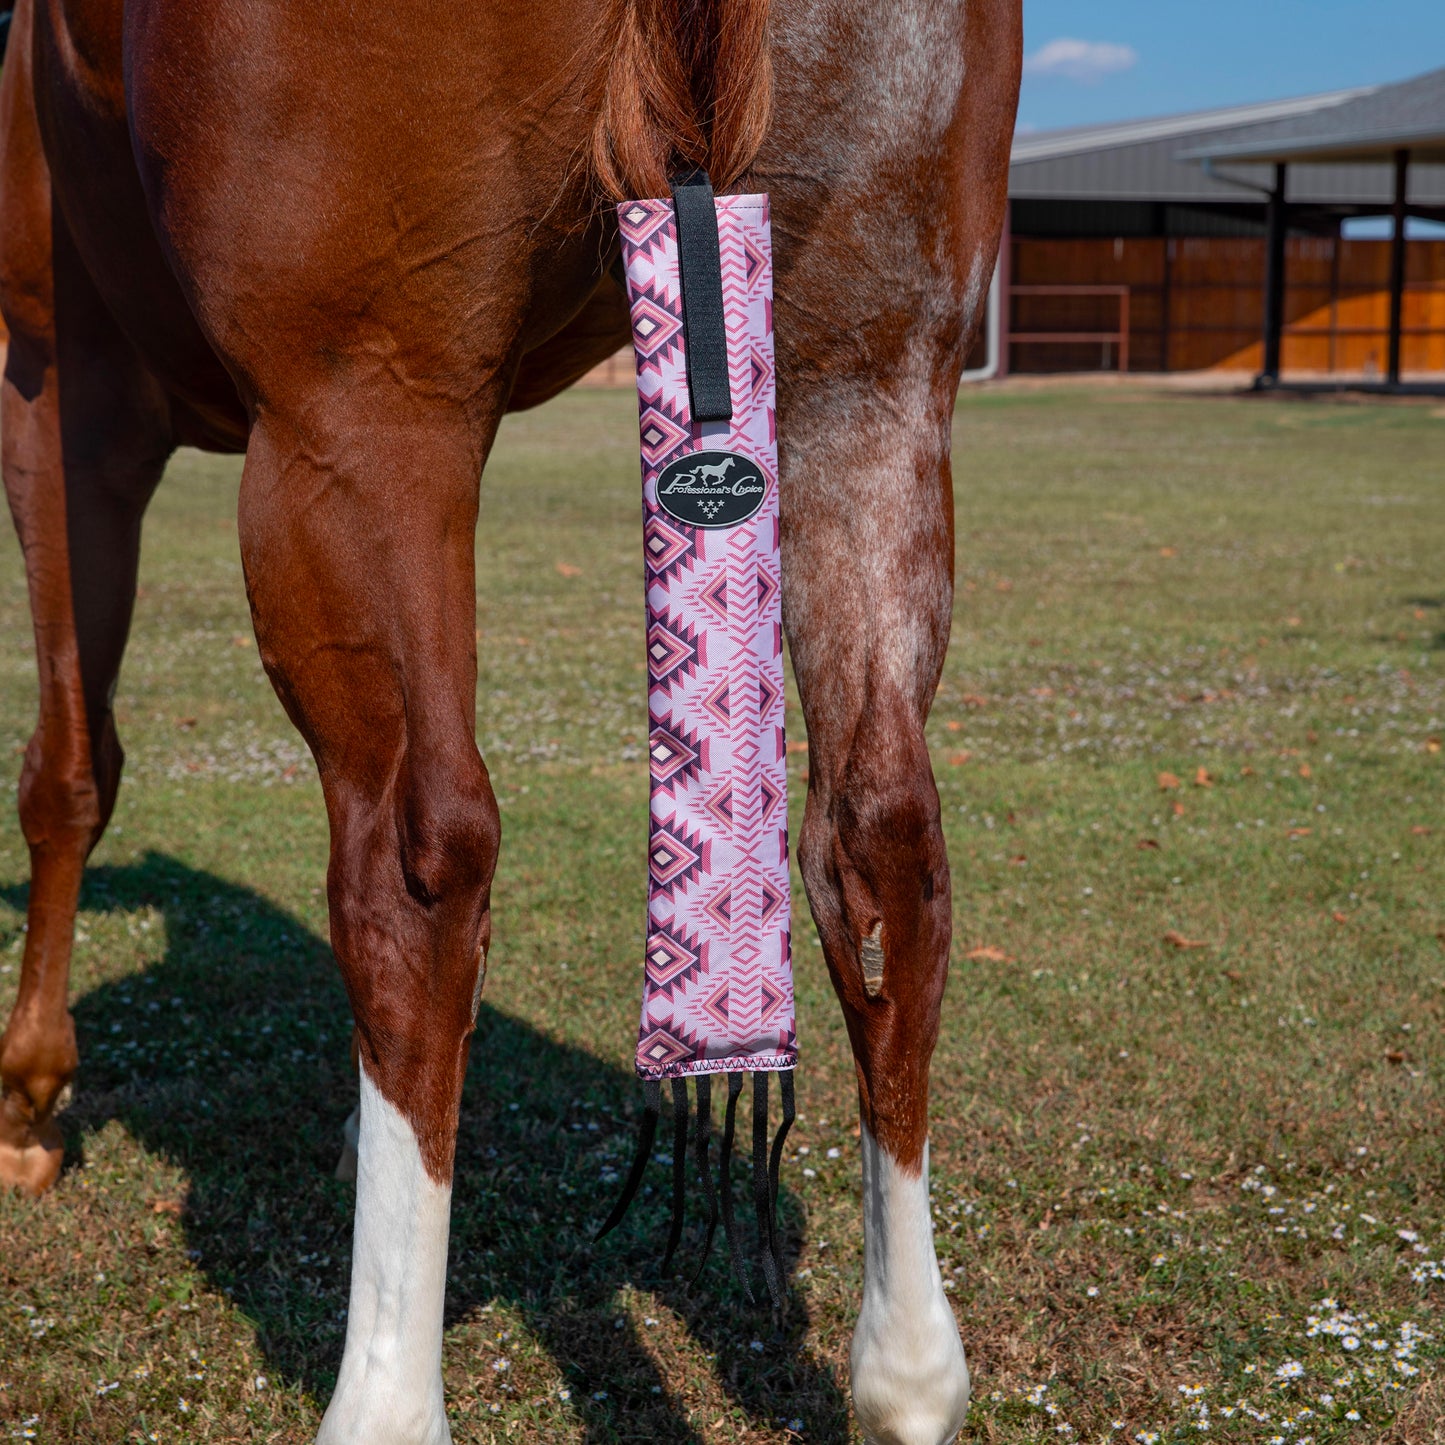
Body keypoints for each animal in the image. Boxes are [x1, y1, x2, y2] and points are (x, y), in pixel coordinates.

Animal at [0, 0, 1020, 1439]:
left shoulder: (58, 396)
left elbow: (69, 767)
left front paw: (31, 1093)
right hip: (864, 371)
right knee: (881, 841)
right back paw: (907, 1373)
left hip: (359, 413)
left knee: (414, 864)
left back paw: (382, 1399)